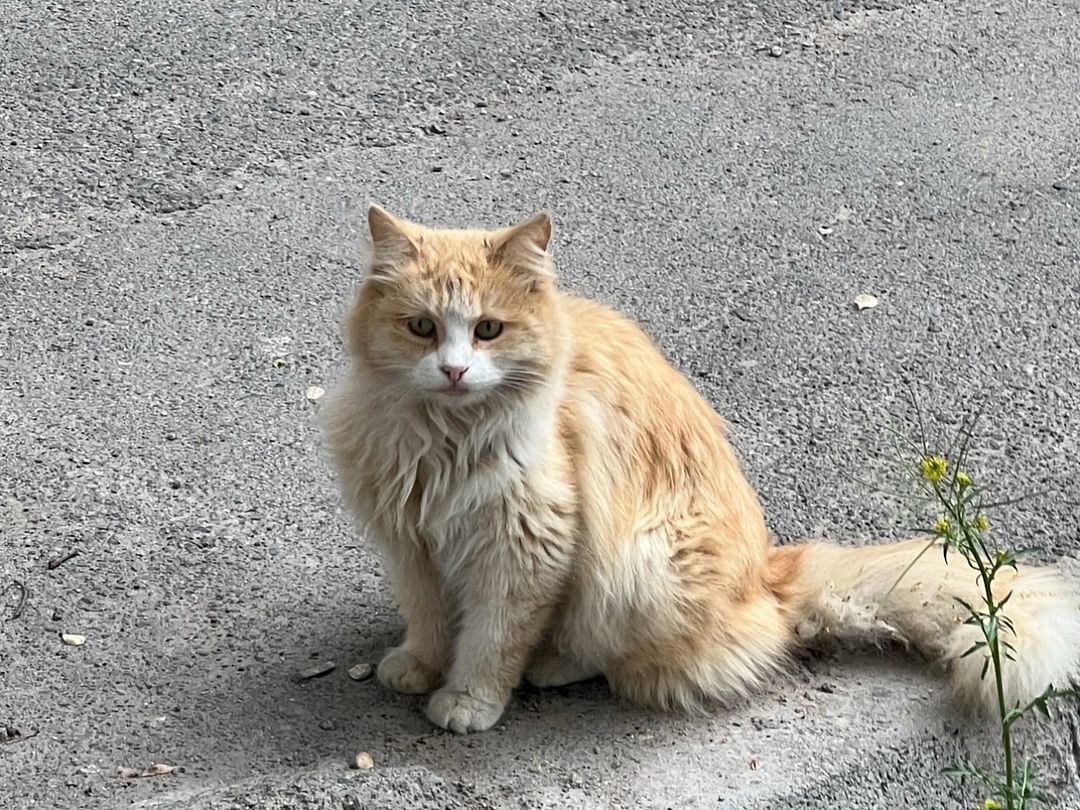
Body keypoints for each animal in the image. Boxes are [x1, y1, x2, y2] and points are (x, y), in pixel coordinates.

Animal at [324, 204, 1080, 734]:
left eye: (487, 330)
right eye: (423, 328)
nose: (454, 371)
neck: (443, 442)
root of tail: (768, 577)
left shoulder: (527, 549)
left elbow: (492, 641)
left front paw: (468, 700)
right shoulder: (412, 544)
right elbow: (430, 620)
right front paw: (420, 668)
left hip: (641, 565)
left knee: (610, 656)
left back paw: (552, 665)